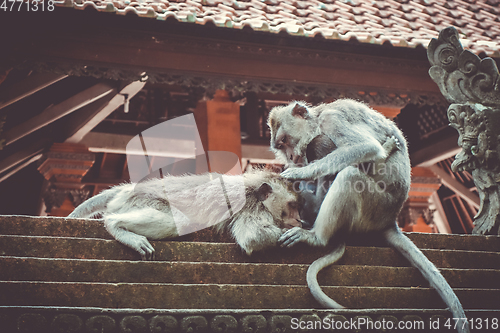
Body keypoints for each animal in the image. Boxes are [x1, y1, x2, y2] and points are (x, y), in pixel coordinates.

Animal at [68, 170, 302, 258]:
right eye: (292, 204)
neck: (253, 189)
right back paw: (115, 226)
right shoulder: (252, 207)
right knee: (178, 221)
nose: (299, 219)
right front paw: (301, 236)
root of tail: (129, 189)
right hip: (140, 200)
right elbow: (255, 237)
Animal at [270, 98, 468, 332]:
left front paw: (299, 172)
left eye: (285, 139)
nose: (291, 156)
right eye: (281, 146)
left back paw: (316, 237)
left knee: (349, 175)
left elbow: (365, 147)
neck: (318, 120)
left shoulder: (332, 120)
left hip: (375, 206)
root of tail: (391, 219)